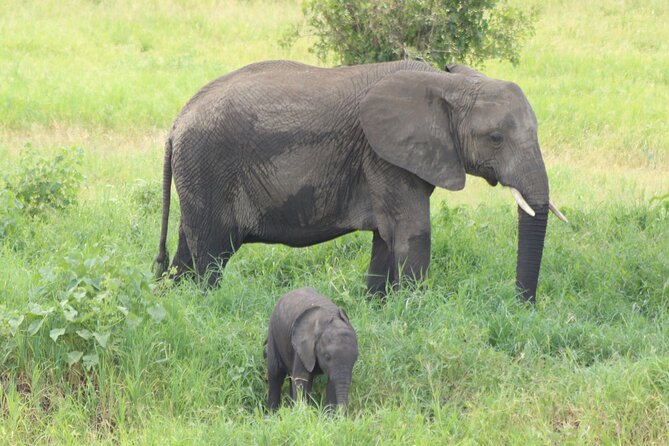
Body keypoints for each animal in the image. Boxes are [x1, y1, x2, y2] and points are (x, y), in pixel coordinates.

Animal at [154, 59, 567, 302]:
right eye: (495, 138)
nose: (522, 306)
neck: (447, 83)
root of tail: (176, 121)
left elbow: (386, 237)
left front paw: (379, 310)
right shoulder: (383, 154)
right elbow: (414, 232)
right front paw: (414, 313)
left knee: (188, 249)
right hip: (208, 165)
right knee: (212, 254)